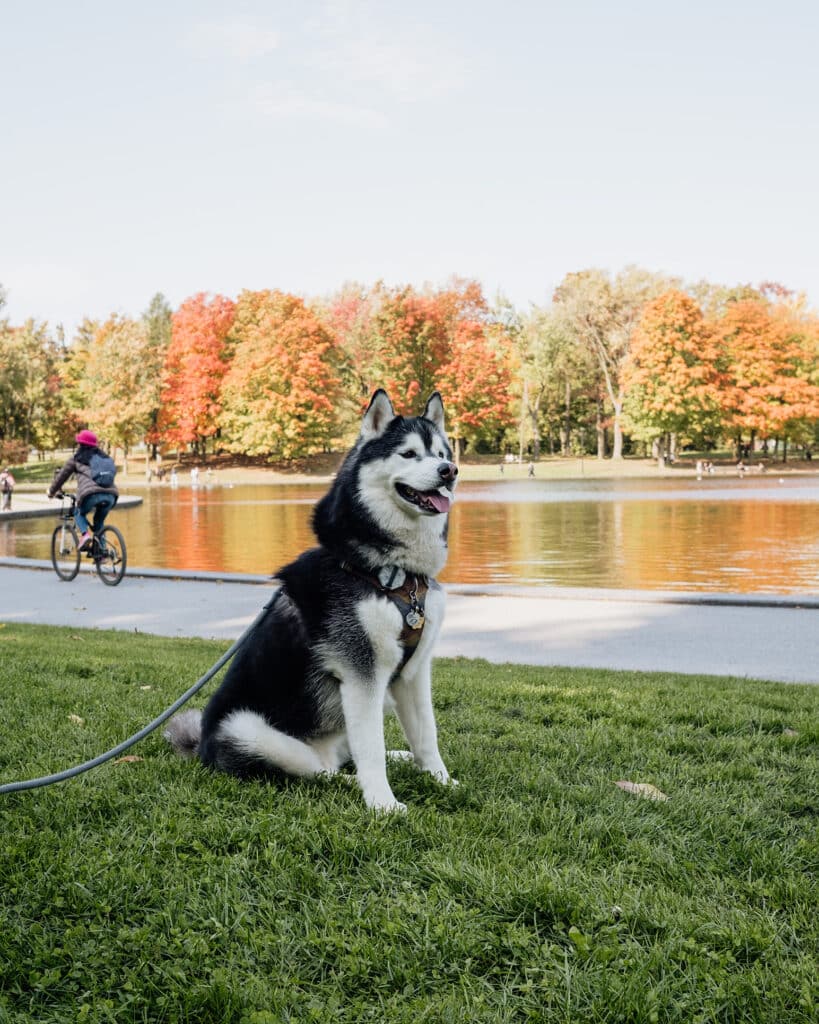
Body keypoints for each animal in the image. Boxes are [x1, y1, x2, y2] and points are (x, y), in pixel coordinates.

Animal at [164, 387, 460, 811]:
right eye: (409, 454)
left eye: (441, 453)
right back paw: (355, 781)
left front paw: (441, 780)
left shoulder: (414, 672)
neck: (393, 573)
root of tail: (201, 747)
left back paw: (398, 759)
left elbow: (427, 737)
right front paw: (384, 805)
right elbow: (371, 748)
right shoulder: (361, 675)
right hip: (249, 729)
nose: (449, 471)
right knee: (323, 771)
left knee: (343, 756)